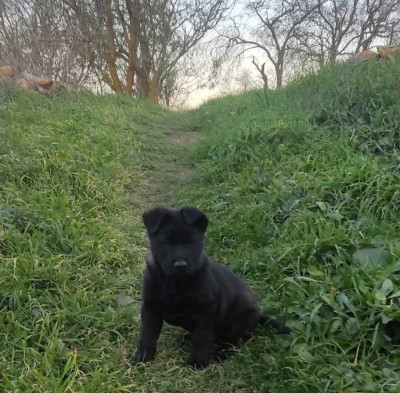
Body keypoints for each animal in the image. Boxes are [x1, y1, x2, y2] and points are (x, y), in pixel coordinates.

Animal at [130, 205, 290, 368]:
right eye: (165, 242)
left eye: (192, 242)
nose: (181, 265)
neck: (176, 282)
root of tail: (258, 316)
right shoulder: (150, 307)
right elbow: (147, 335)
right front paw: (142, 356)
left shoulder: (205, 312)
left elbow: (201, 339)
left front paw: (196, 362)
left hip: (239, 321)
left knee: (235, 341)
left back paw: (222, 353)